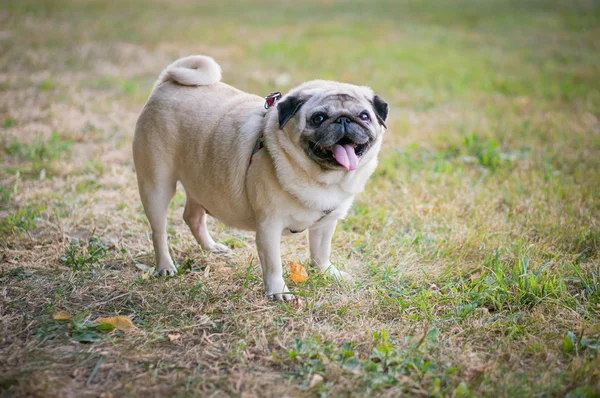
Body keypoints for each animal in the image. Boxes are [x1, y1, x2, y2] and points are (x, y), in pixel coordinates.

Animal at [132, 55, 390, 298]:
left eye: (364, 116)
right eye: (318, 118)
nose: (344, 119)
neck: (322, 179)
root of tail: (166, 82)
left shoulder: (326, 224)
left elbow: (320, 252)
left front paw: (328, 273)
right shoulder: (269, 226)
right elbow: (273, 264)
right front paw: (278, 292)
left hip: (200, 181)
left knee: (193, 217)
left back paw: (211, 248)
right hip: (157, 185)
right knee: (159, 231)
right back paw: (165, 266)